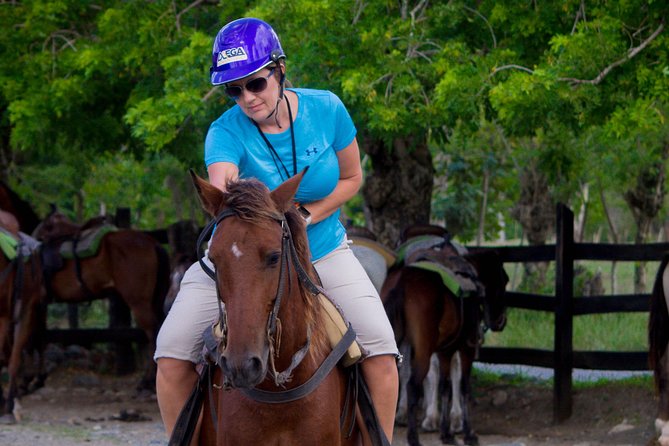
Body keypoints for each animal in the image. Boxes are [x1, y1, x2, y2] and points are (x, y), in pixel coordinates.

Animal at [382, 232, 508, 446]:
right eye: (504, 280)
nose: (501, 321)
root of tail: (401, 283)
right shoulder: (465, 349)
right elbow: (463, 386)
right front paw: (467, 433)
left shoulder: (445, 352)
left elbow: (445, 386)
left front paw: (446, 432)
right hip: (423, 350)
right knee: (413, 385)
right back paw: (413, 438)